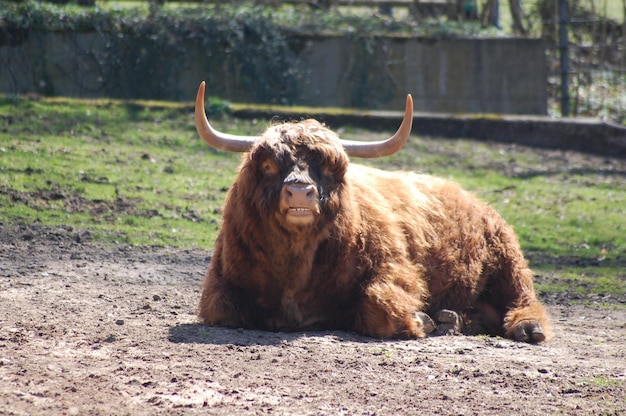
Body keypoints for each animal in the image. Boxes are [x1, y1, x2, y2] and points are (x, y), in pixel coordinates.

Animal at [193, 80, 548, 342]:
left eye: (329, 168)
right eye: (268, 166)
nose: (300, 192)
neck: (296, 265)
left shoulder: (394, 268)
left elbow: (380, 306)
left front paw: (420, 318)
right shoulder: (220, 282)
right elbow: (220, 309)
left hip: (508, 260)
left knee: (524, 298)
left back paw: (526, 327)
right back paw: (453, 319)